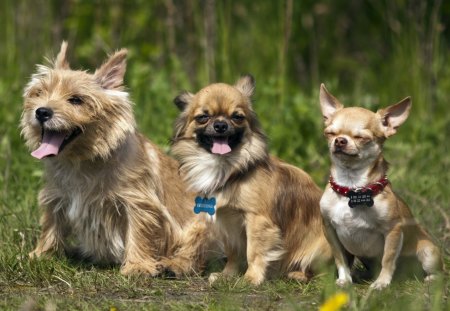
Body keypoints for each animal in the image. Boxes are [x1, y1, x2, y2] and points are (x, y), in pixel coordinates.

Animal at [21, 41, 197, 276]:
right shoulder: (56, 197)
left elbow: (138, 232)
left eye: (76, 100)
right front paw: (41, 255)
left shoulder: (137, 202)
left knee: (193, 249)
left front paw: (137, 266)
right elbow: (51, 224)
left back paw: (174, 265)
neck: (84, 160)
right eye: (39, 92)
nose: (41, 112)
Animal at [169, 75, 330, 286]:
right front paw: (227, 275)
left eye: (237, 117)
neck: (226, 168)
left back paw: (298, 274)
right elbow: (233, 252)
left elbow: (254, 251)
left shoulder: (257, 220)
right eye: (203, 117)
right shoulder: (226, 221)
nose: (220, 125)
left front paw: (251, 278)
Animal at [320, 84, 442, 290]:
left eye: (362, 137)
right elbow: (340, 258)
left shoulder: (393, 231)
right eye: (330, 133)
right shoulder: (330, 229)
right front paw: (345, 279)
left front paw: (382, 283)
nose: (340, 141)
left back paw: (430, 278)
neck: (352, 188)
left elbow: (388, 258)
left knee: (439, 271)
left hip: (429, 253)